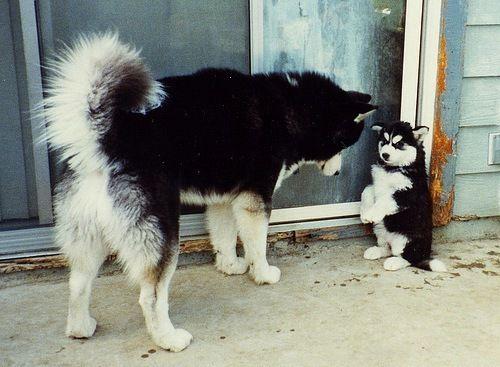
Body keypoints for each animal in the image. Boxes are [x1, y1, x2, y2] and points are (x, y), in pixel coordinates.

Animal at [45, 35, 376, 354]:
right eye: (344, 144)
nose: (338, 174)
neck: (289, 108)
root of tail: (105, 139)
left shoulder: (223, 201)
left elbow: (225, 237)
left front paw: (229, 266)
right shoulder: (254, 201)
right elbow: (257, 244)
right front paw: (262, 273)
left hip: (88, 237)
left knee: (78, 282)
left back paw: (81, 327)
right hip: (162, 232)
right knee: (150, 296)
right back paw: (168, 339)